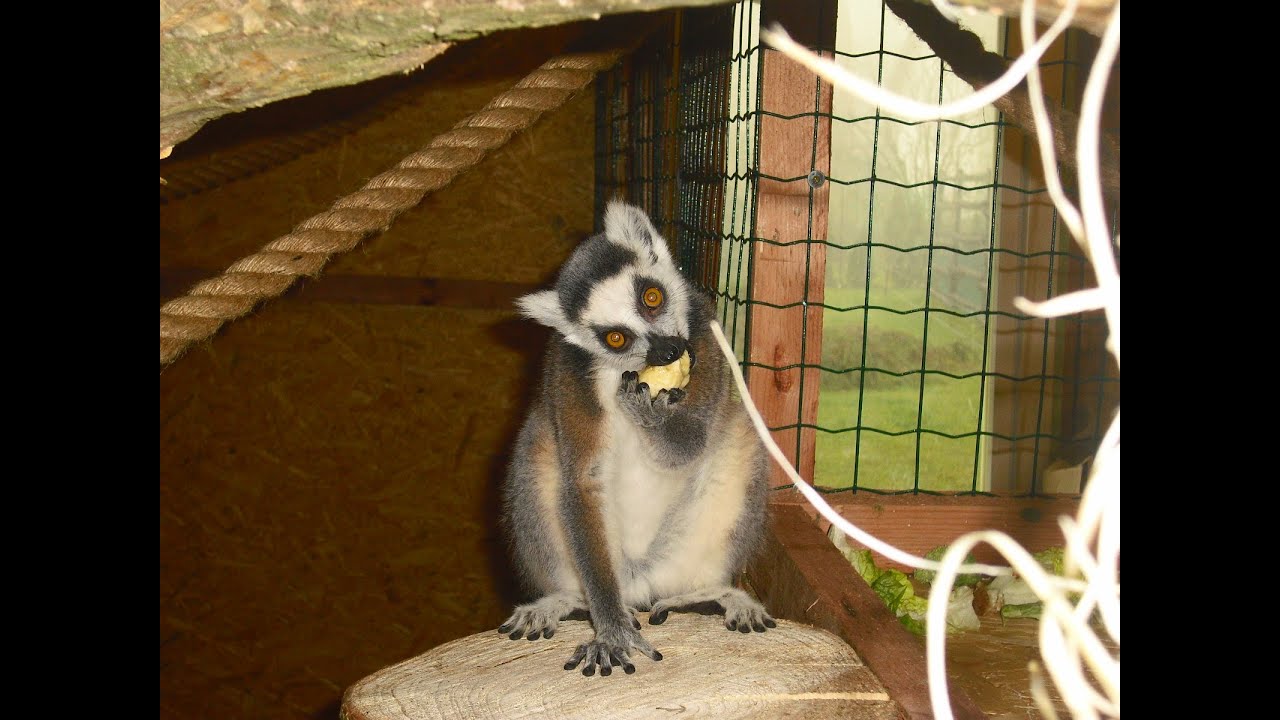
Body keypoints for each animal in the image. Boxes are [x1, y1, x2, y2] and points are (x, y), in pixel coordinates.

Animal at [498, 200, 774, 677]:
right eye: (616, 337)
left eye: (652, 297)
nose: (668, 350)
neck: (622, 373)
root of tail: (638, 582)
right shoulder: (569, 371)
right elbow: (583, 480)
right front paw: (611, 631)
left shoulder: (706, 339)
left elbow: (688, 446)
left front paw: (646, 412)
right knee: (537, 451)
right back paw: (563, 601)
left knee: (741, 439)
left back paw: (712, 594)